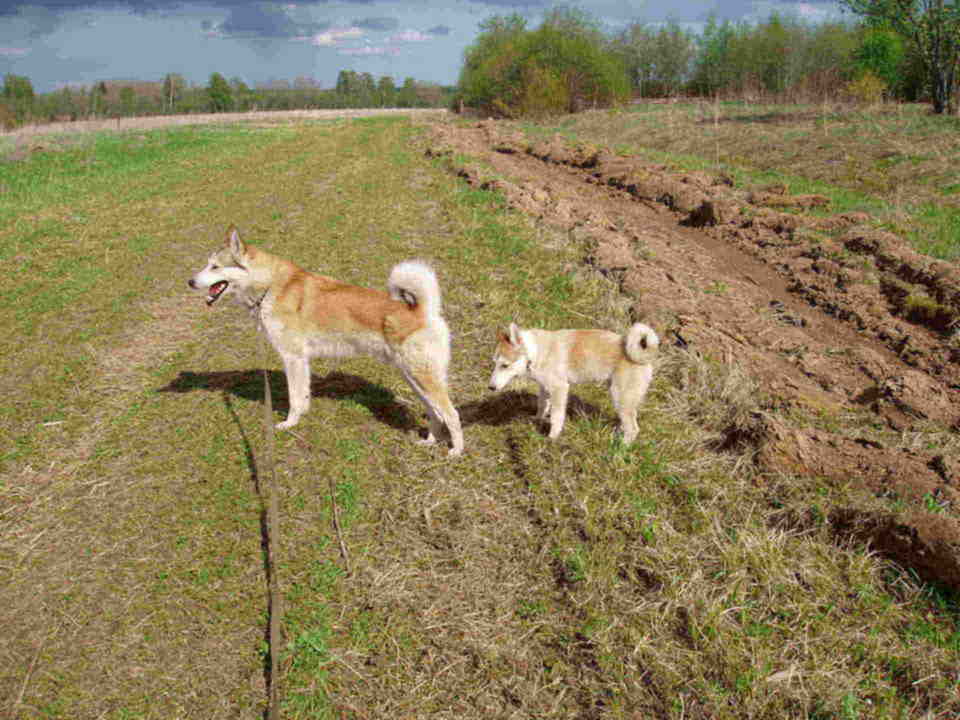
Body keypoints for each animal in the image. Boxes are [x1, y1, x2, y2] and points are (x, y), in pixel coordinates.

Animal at [188, 225, 464, 456]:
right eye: (207, 265)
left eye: (215, 267)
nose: (189, 282)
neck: (269, 285)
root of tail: (423, 311)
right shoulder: (301, 361)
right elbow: (303, 395)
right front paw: (300, 418)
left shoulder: (293, 358)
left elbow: (294, 397)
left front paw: (289, 424)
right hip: (414, 379)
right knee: (436, 414)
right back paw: (429, 441)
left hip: (422, 377)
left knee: (451, 414)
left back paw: (456, 451)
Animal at [492, 322, 656, 444]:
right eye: (494, 363)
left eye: (504, 365)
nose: (491, 387)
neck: (536, 352)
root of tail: (645, 357)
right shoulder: (545, 388)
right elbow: (542, 406)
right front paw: (537, 420)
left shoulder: (560, 389)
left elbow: (556, 417)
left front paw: (552, 439)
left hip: (620, 396)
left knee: (633, 429)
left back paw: (619, 448)